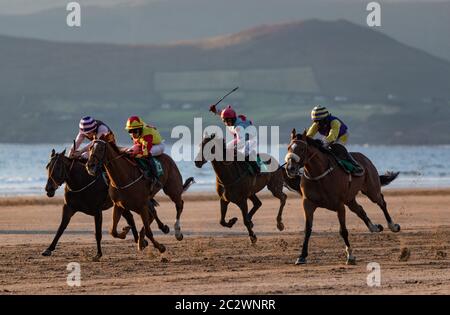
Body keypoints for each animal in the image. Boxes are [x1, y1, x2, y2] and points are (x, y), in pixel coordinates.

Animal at [284, 130, 400, 266]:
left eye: (302, 149)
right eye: (288, 147)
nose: (290, 168)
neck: (319, 175)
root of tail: (366, 159)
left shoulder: (339, 205)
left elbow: (343, 231)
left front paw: (350, 256)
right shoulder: (308, 204)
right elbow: (307, 230)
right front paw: (302, 256)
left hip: (371, 190)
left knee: (381, 202)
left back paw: (392, 226)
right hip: (350, 200)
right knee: (360, 210)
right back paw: (374, 227)